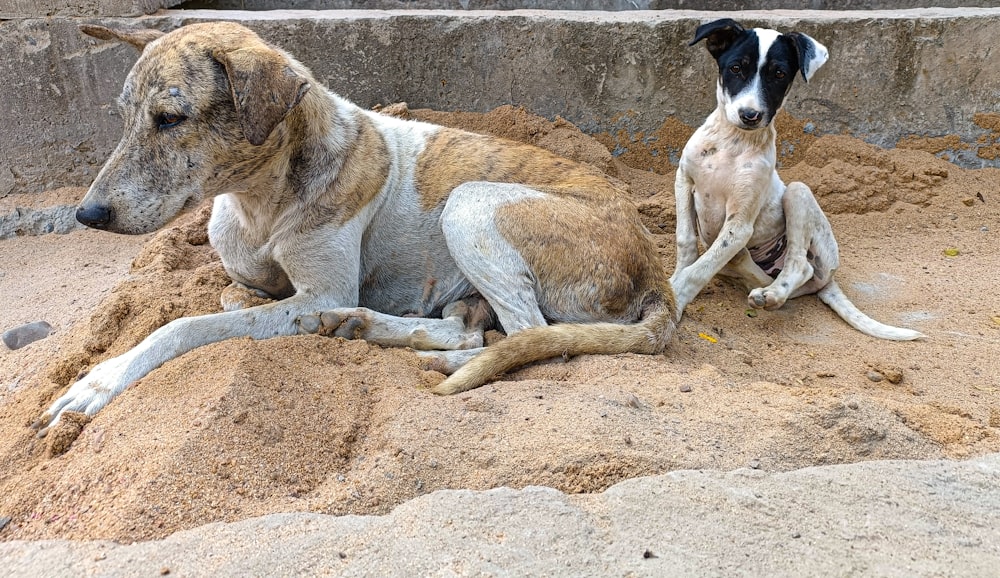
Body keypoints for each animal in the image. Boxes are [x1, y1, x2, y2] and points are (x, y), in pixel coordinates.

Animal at [35, 21, 676, 432]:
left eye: (171, 119)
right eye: (123, 117)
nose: (87, 215)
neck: (257, 202)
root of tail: (655, 269)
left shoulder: (321, 290)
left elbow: (183, 327)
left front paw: (101, 380)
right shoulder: (260, 276)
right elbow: (228, 296)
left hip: (469, 204)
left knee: (525, 337)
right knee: (470, 329)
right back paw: (367, 327)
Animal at [668, 19, 924, 342]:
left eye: (779, 74)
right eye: (736, 68)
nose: (750, 115)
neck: (732, 142)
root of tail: (829, 281)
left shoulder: (740, 223)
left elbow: (699, 270)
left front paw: (676, 295)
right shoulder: (684, 181)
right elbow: (686, 242)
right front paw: (670, 280)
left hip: (799, 195)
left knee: (800, 266)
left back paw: (773, 293)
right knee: (748, 269)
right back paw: (752, 274)